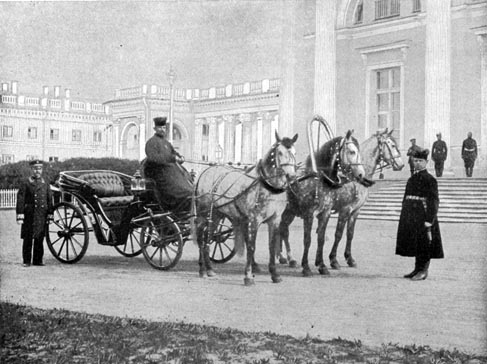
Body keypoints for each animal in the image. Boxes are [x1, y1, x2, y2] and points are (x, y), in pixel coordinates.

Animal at [193, 132, 298, 286]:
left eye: (294, 152)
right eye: (280, 152)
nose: (292, 176)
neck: (267, 186)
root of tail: (206, 171)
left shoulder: (275, 220)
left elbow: (271, 246)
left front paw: (274, 274)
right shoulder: (254, 220)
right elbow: (251, 246)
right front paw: (248, 276)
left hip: (216, 216)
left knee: (208, 238)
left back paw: (210, 269)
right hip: (202, 215)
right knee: (201, 238)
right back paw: (202, 269)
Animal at [280, 128, 406, 272]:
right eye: (393, 145)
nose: (401, 165)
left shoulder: (355, 211)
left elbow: (349, 234)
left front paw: (349, 258)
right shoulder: (345, 210)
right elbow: (338, 234)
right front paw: (333, 260)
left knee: (282, 227)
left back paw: (285, 258)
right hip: (292, 208)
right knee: (282, 228)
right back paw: (287, 258)